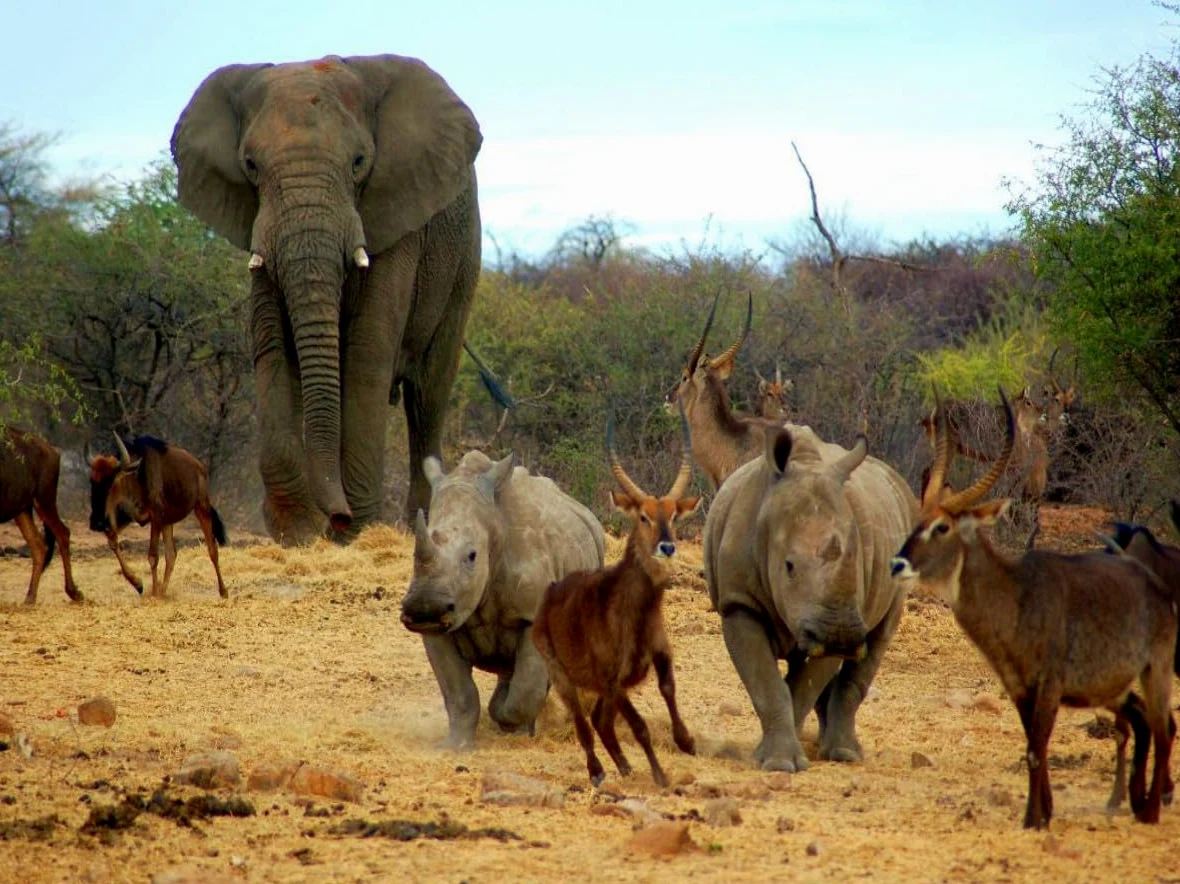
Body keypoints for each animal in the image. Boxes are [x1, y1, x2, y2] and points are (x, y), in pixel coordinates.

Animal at [172, 54, 483, 544]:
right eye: (250, 165)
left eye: (359, 162)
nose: (335, 517)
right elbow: (273, 347)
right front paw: (297, 531)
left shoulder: (395, 214)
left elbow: (368, 351)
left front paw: (353, 531)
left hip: (463, 262)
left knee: (427, 396)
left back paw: (421, 525)